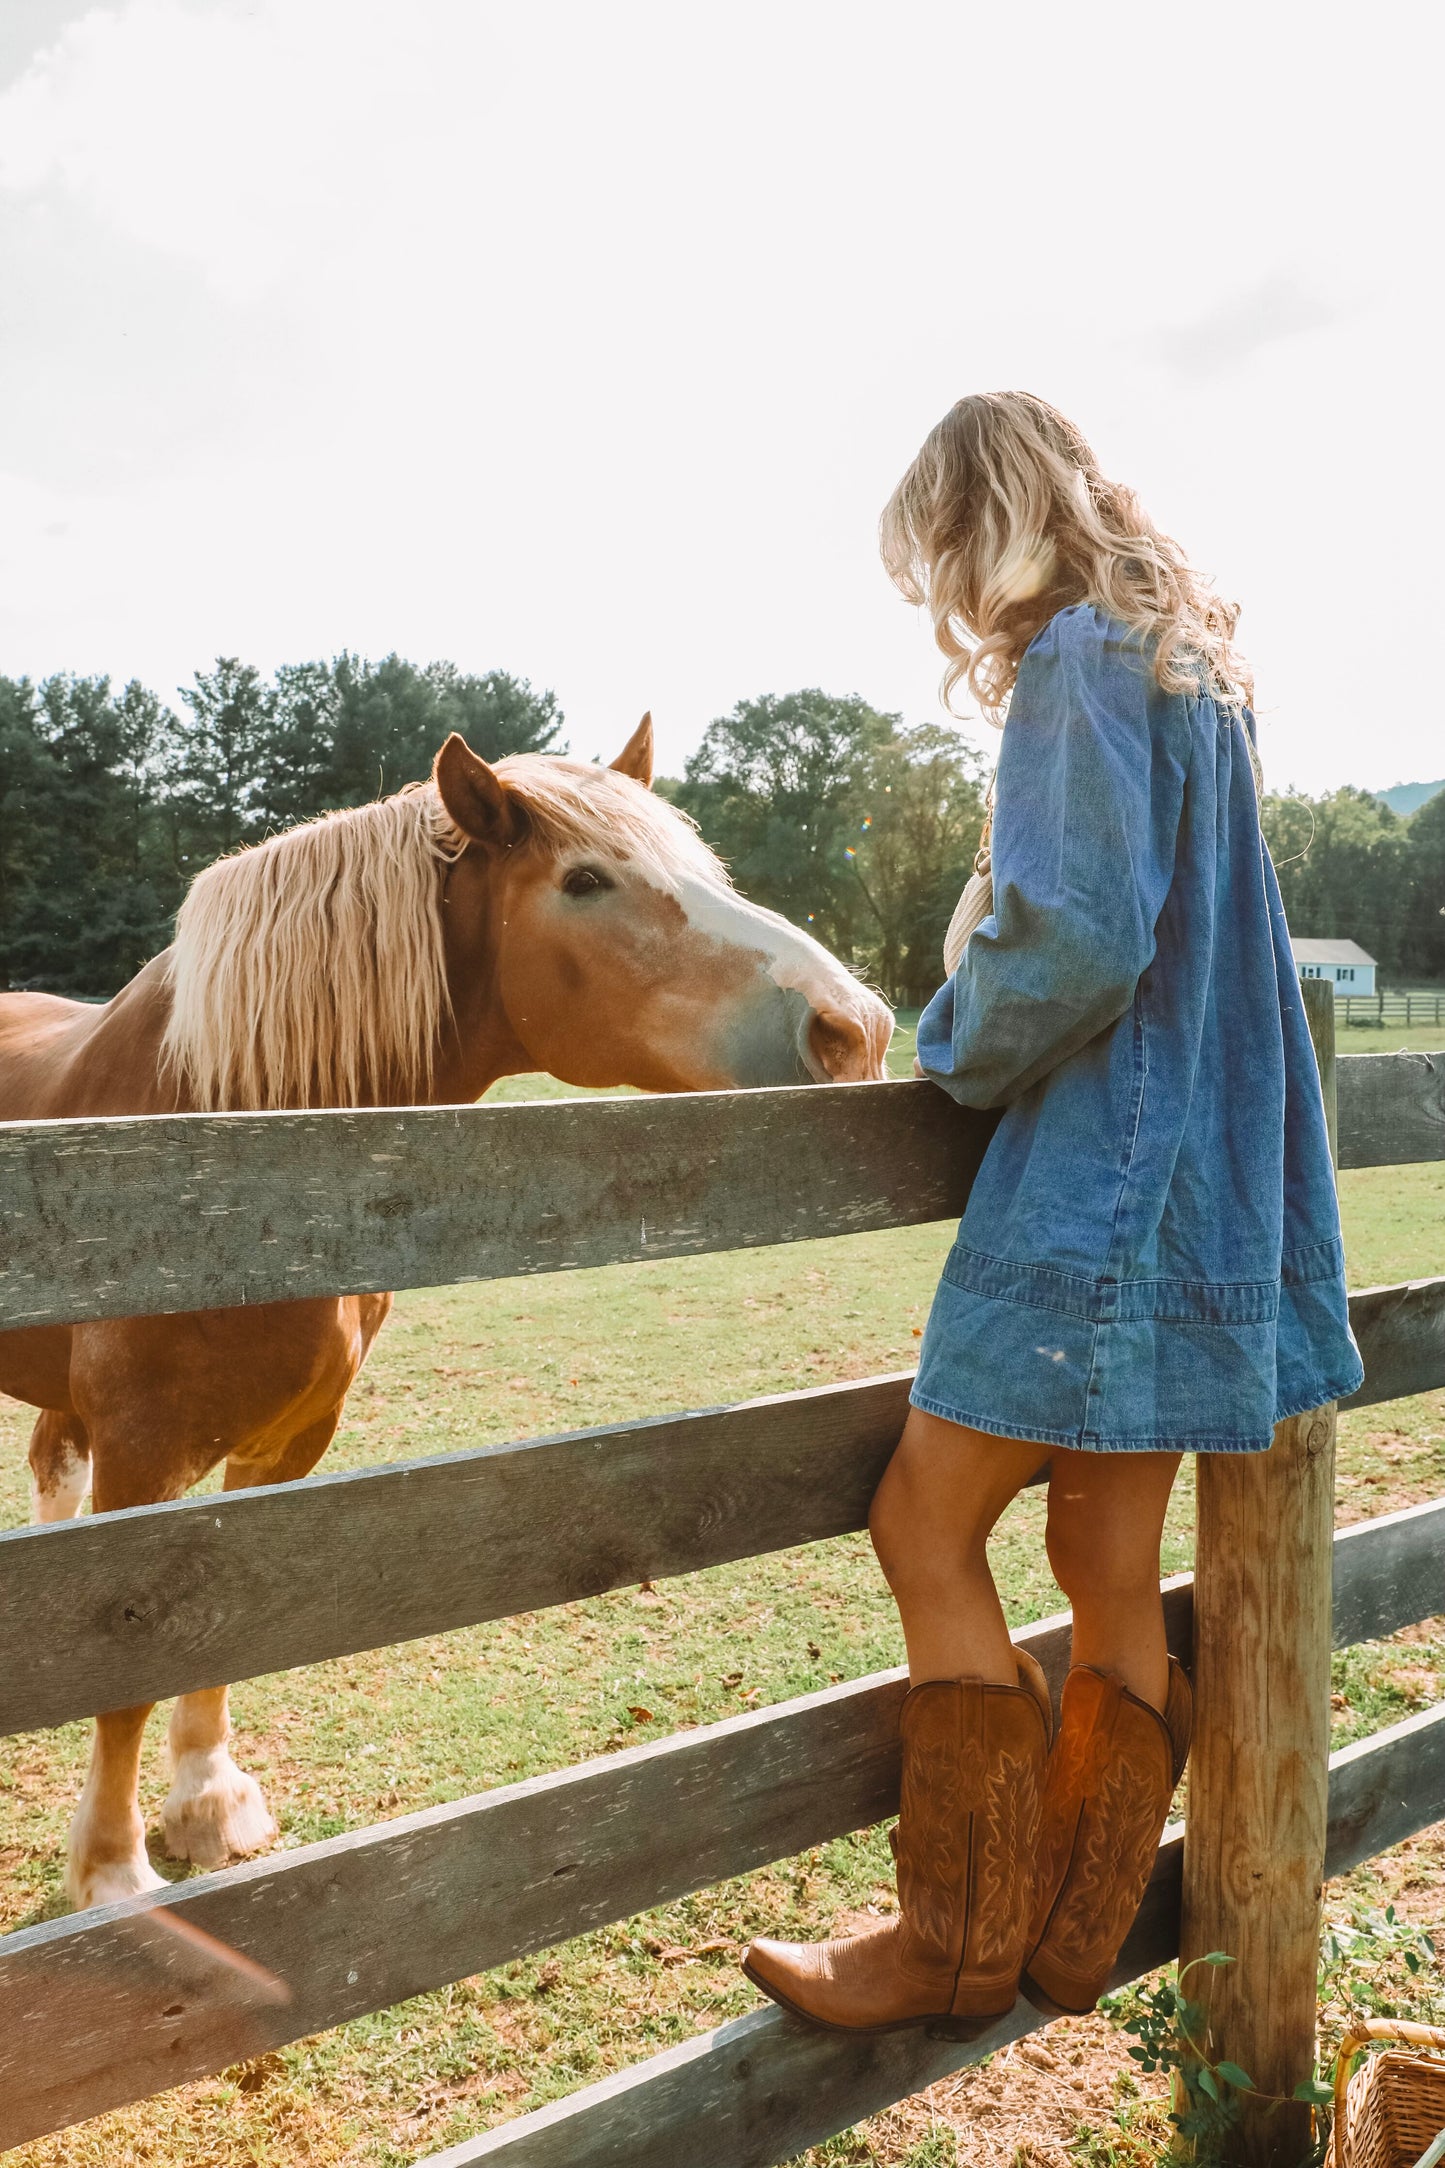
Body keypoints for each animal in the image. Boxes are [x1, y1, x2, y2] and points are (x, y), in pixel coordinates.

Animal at [0, 719, 892, 1907]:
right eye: (585, 879)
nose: (854, 1027)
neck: (213, 1153)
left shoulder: (289, 1441)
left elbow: (218, 1635)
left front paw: (207, 1804)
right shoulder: (145, 1457)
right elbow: (129, 1668)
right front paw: (112, 1872)